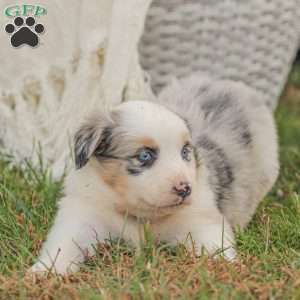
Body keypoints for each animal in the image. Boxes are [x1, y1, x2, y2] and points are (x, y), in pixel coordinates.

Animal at [31, 75, 278, 274]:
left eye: (185, 152)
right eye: (145, 156)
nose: (185, 189)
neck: (142, 217)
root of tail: (229, 83)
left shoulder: (200, 219)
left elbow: (215, 246)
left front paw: (228, 268)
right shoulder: (83, 213)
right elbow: (63, 244)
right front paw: (45, 272)